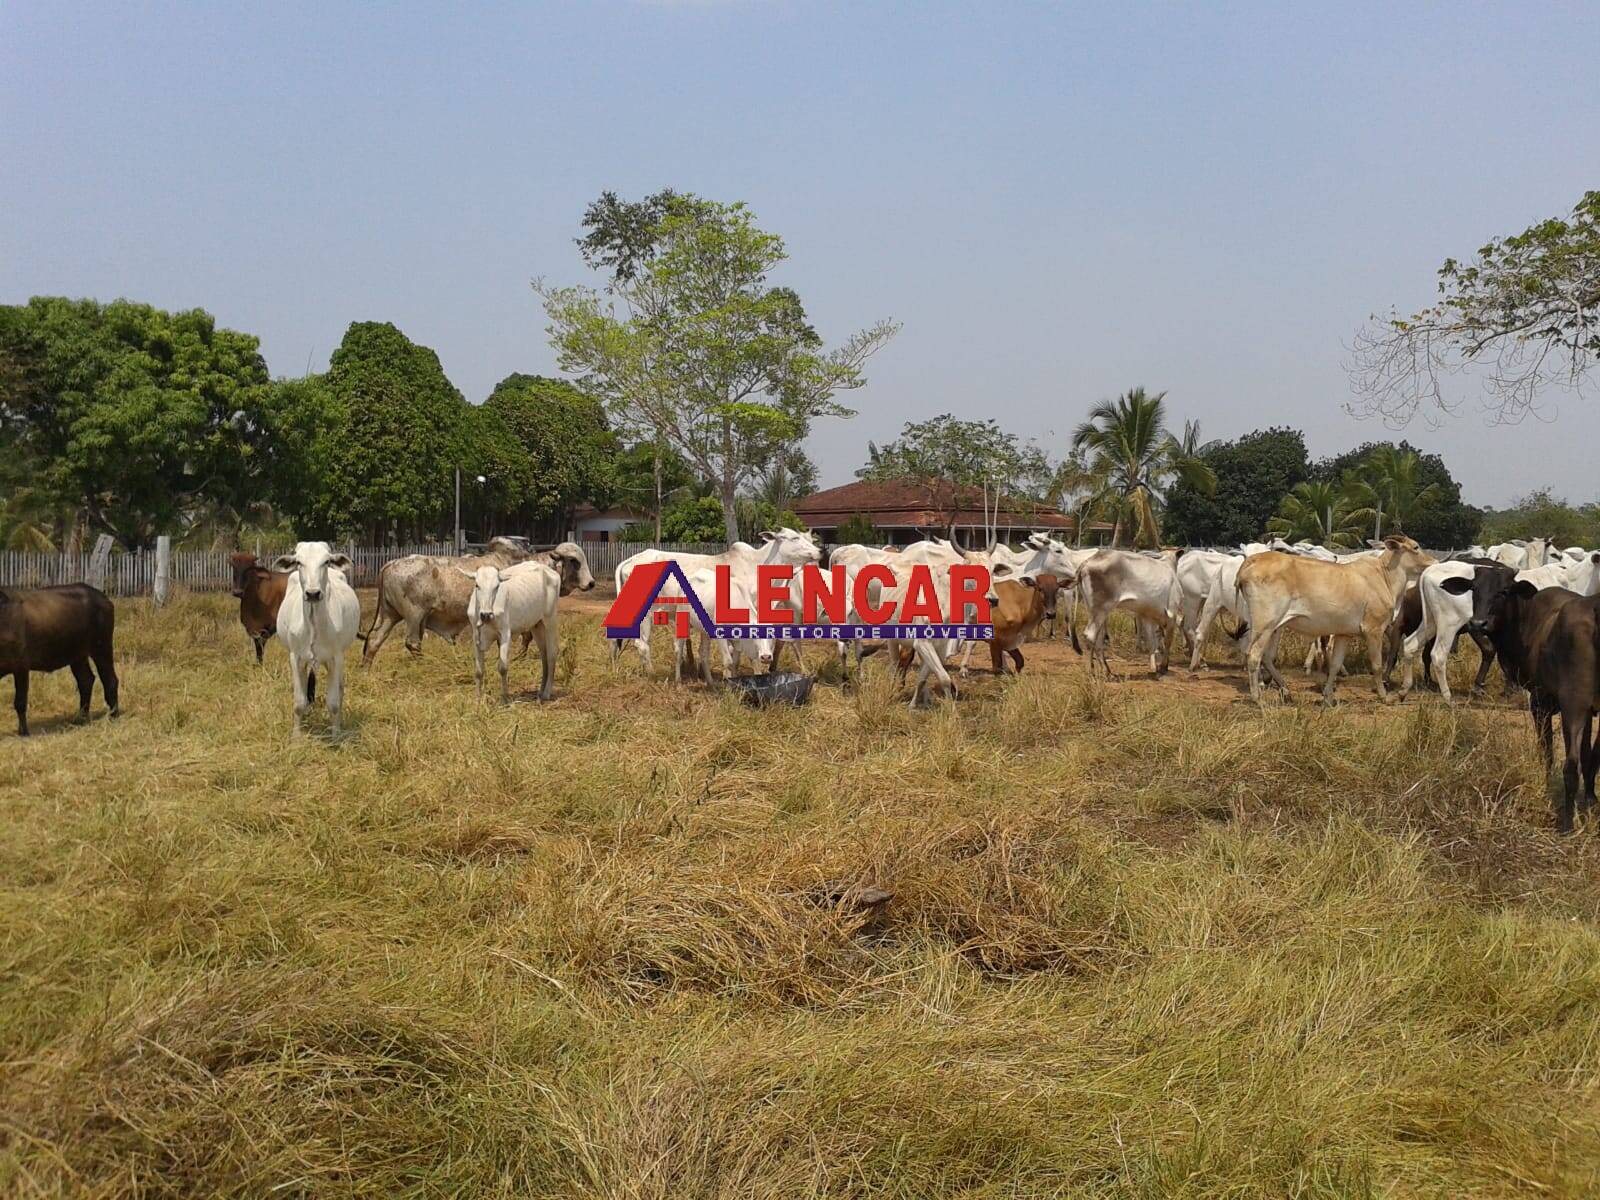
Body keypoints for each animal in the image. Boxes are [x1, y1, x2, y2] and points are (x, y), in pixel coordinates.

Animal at [0, 585, 119, 739]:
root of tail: (103, 598)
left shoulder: (21, 666)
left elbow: (20, 702)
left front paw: (24, 732)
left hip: (102, 647)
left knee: (110, 680)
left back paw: (113, 715)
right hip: (78, 656)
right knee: (86, 680)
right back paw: (81, 717)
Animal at [275, 544, 363, 732]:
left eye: (326, 561)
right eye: (298, 562)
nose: (313, 593)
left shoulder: (336, 658)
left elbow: (334, 702)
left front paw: (336, 733)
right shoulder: (295, 657)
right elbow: (299, 702)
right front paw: (297, 734)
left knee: (340, 689)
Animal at [356, 544, 595, 668]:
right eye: (575, 562)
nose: (591, 583)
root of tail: (390, 563)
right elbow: (524, 638)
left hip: (391, 615)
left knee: (375, 641)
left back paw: (366, 669)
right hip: (415, 615)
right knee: (413, 643)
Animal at [1228, 534, 1433, 704]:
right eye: (1415, 547)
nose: (1434, 561)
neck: (1384, 576)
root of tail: (1250, 562)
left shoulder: (1344, 634)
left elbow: (1335, 665)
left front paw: (1328, 696)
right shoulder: (1373, 630)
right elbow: (1376, 665)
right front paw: (1385, 696)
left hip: (1274, 627)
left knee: (1267, 657)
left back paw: (1286, 691)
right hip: (1265, 625)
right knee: (1253, 655)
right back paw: (1258, 698)